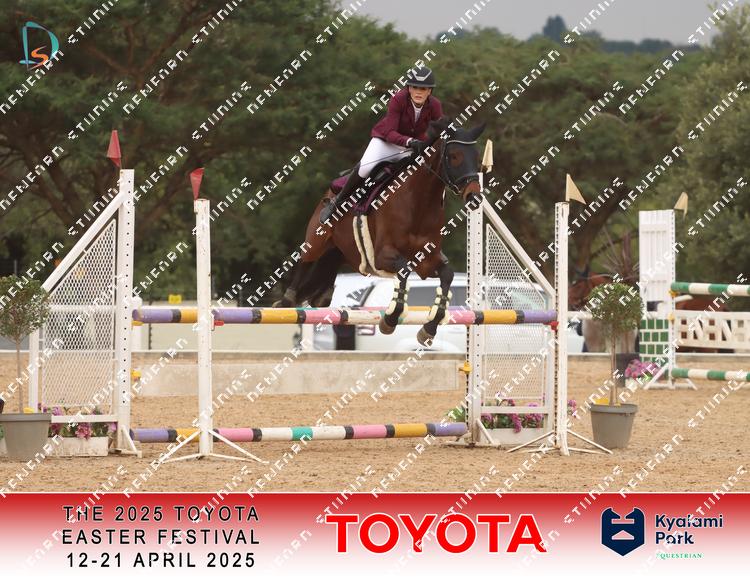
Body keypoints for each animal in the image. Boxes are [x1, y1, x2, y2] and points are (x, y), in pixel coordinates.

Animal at [275, 117, 485, 346]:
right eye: (454, 156)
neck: (419, 203)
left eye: (477, 156)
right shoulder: (382, 255)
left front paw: (428, 328)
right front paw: (391, 319)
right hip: (318, 238)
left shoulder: (426, 261)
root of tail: (330, 190)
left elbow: (446, 275)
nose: (474, 197)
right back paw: (287, 300)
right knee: (306, 259)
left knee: (324, 285)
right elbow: (404, 271)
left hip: (339, 253)